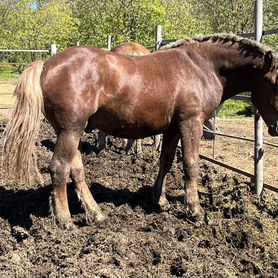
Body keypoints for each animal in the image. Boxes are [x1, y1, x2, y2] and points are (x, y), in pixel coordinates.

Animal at [2, 33, 278, 228]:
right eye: (275, 83)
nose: (276, 128)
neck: (201, 66)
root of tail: (47, 64)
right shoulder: (191, 123)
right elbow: (190, 165)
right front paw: (195, 210)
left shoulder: (172, 128)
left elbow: (166, 161)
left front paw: (160, 200)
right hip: (70, 131)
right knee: (59, 168)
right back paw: (65, 220)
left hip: (71, 132)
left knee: (76, 170)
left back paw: (96, 213)